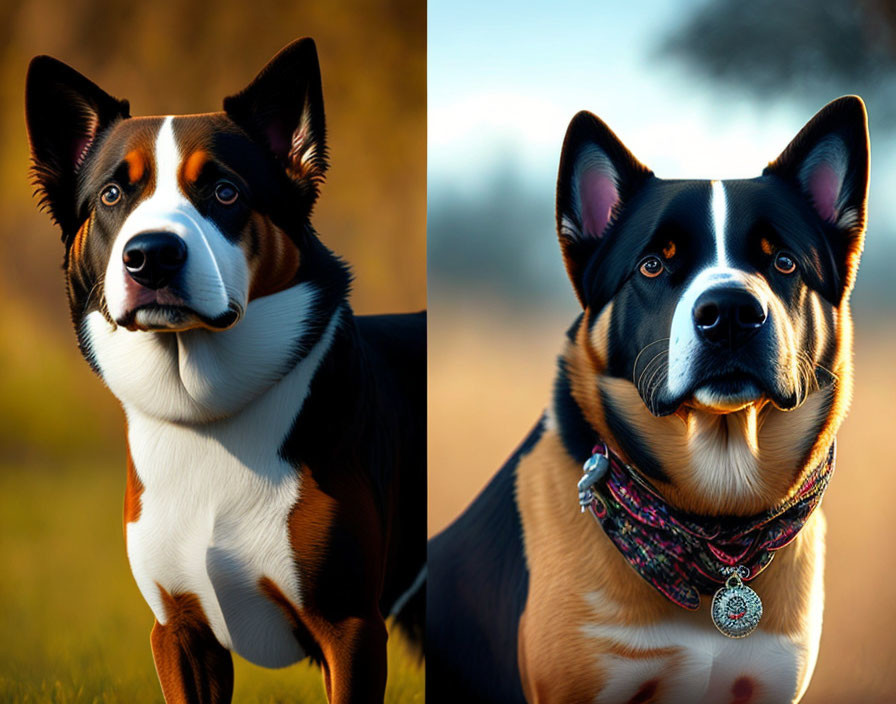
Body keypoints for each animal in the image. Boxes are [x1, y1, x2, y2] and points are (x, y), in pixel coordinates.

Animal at [24, 40, 424, 704]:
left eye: (225, 191)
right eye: (112, 196)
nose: (151, 255)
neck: (208, 416)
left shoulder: (349, 628)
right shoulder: (180, 631)